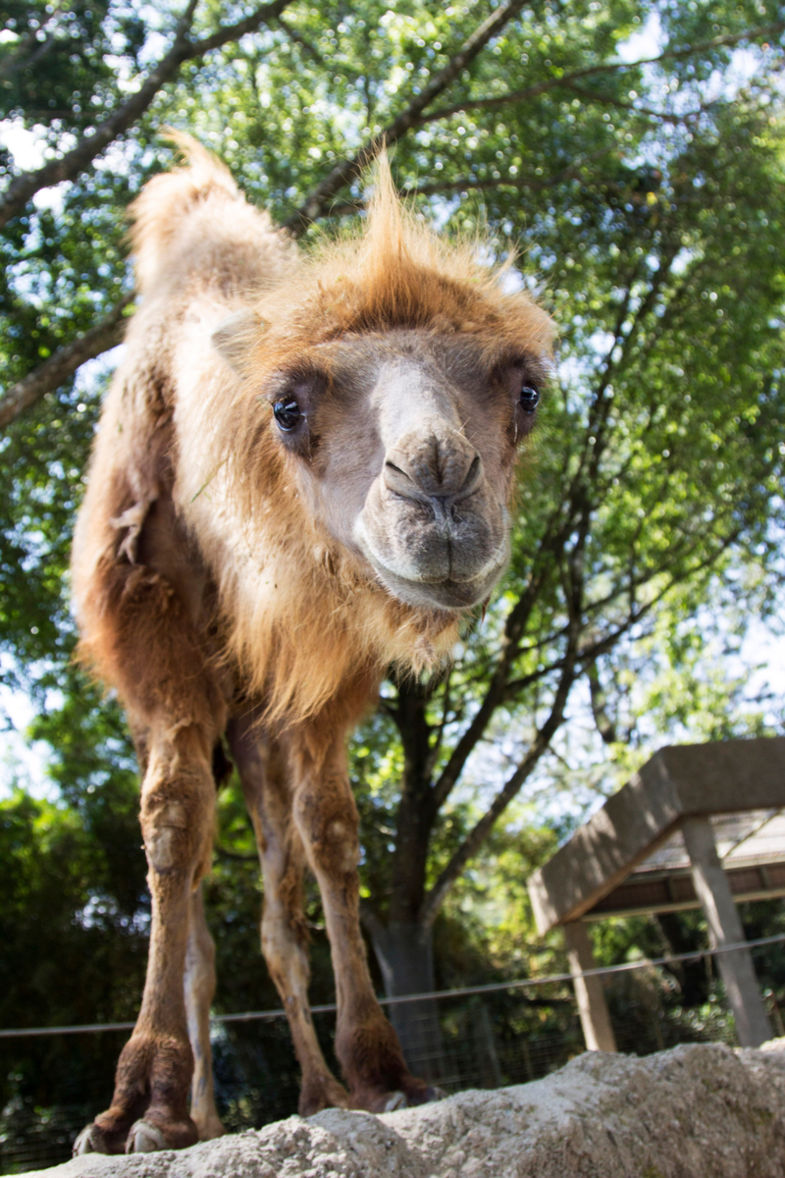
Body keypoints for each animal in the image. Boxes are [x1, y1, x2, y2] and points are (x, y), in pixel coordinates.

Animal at [70, 133, 553, 1154]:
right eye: (287, 407)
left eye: (526, 392)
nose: (438, 491)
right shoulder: (149, 632)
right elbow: (170, 819)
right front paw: (135, 1105)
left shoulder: (324, 677)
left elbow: (331, 832)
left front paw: (381, 1073)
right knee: (201, 919)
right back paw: (194, 1113)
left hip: (255, 734)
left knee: (273, 919)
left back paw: (312, 1088)